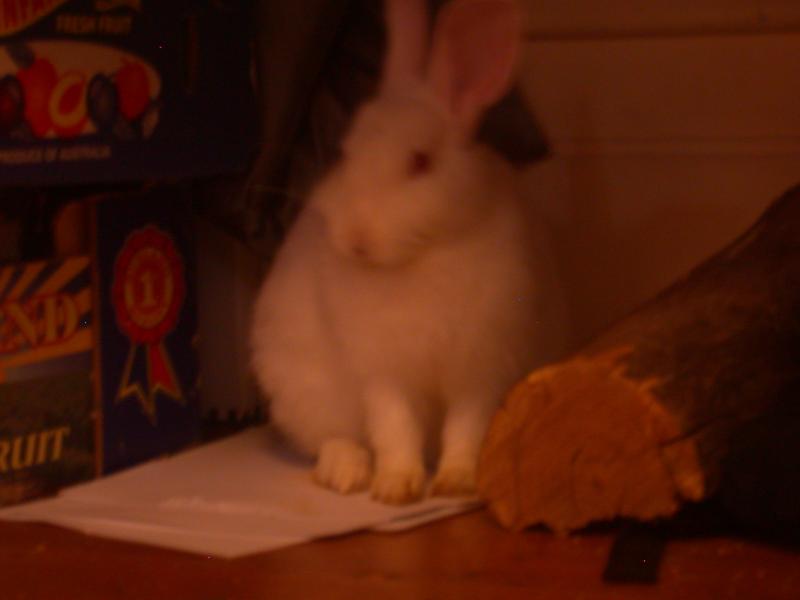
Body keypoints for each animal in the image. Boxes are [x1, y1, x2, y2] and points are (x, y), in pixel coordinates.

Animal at [250, 0, 567, 505]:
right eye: (347, 151)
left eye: (420, 162)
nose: (356, 237)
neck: (421, 258)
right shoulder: (385, 377)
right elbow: (395, 428)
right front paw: (396, 487)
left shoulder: (480, 372)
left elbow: (467, 429)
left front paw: (456, 483)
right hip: (304, 390)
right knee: (330, 439)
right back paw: (347, 472)